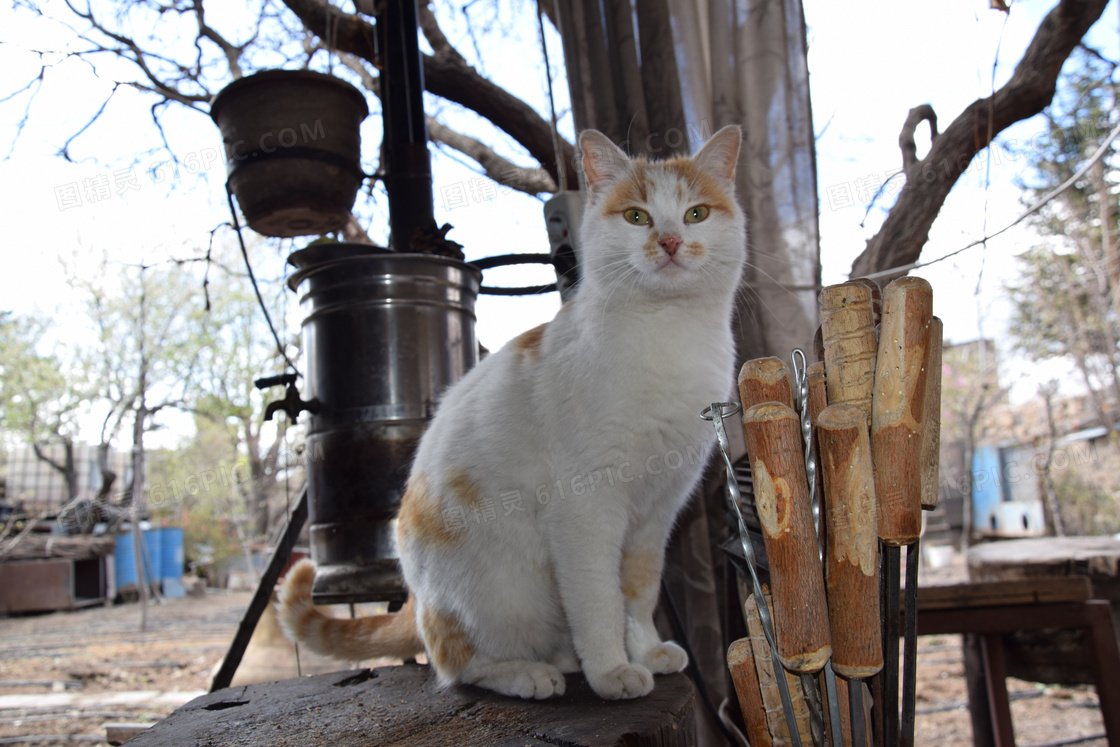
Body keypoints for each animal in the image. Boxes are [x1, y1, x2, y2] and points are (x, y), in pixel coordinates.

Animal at [276, 122, 748, 703]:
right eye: (637, 216)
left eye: (696, 214)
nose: (671, 242)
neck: (669, 334)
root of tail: (415, 597)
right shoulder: (584, 512)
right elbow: (599, 600)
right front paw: (612, 671)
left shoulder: (656, 514)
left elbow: (637, 594)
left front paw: (644, 651)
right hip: (500, 596)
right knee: (455, 663)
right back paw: (528, 673)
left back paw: (565, 659)